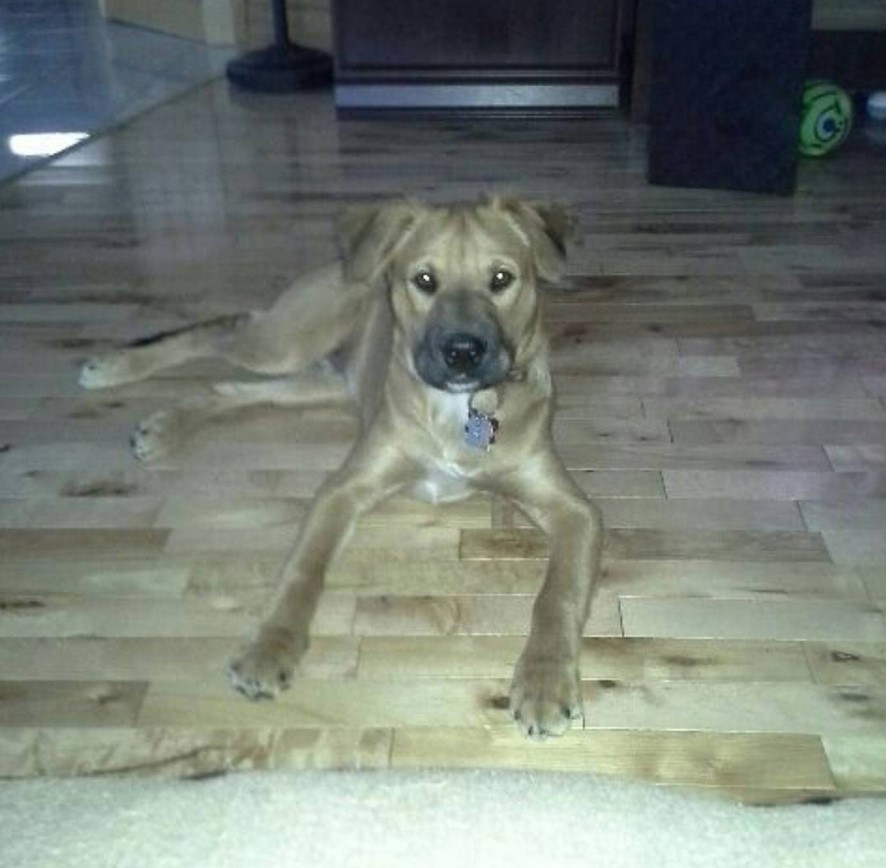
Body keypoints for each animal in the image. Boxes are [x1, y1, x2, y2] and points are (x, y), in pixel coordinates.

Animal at [80, 197, 604, 740]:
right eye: (424, 280)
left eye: (501, 278)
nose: (462, 353)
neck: (465, 408)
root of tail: (345, 258)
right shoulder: (344, 488)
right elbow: (302, 571)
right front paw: (270, 650)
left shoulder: (574, 511)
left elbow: (557, 596)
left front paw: (544, 682)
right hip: (285, 344)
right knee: (222, 330)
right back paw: (113, 367)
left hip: (323, 382)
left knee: (227, 389)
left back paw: (163, 425)